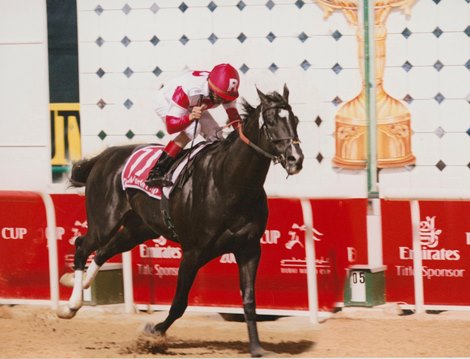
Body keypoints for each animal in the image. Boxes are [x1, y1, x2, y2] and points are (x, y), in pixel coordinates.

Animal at [57, 84, 304, 358]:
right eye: (270, 122)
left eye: (295, 120)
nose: (296, 159)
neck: (230, 183)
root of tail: (105, 156)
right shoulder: (193, 252)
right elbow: (179, 303)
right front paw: (152, 333)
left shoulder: (249, 249)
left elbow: (249, 300)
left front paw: (257, 348)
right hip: (105, 221)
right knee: (82, 245)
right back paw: (70, 305)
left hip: (138, 230)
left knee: (102, 252)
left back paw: (78, 284)